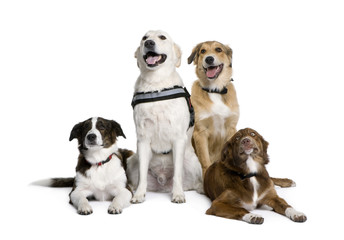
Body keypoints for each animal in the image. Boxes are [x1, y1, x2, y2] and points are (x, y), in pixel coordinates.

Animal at [126, 29, 203, 203]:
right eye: (144, 38)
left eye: (162, 37)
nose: (149, 43)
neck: (156, 84)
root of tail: (162, 184)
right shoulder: (143, 139)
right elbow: (142, 175)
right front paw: (139, 194)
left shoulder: (178, 138)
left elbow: (177, 174)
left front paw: (178, 194)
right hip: (132, 161)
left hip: (193, 163)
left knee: (195, 182)